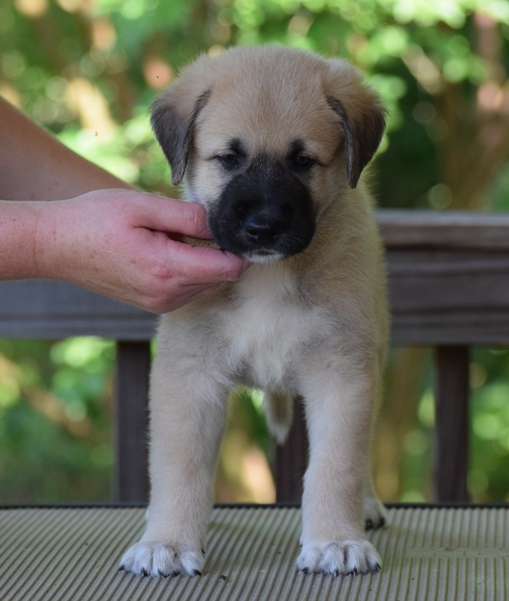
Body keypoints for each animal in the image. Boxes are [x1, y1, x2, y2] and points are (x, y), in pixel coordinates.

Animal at [120, 45, 389, 578]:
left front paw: (335, 541)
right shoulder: (190, 373)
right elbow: (180, 466)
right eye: (229, 158)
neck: (269, 274)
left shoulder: (343, 370)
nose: (263, 227)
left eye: (303, 161)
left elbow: (338, 465)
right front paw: (167, 542)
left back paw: (366, 507)